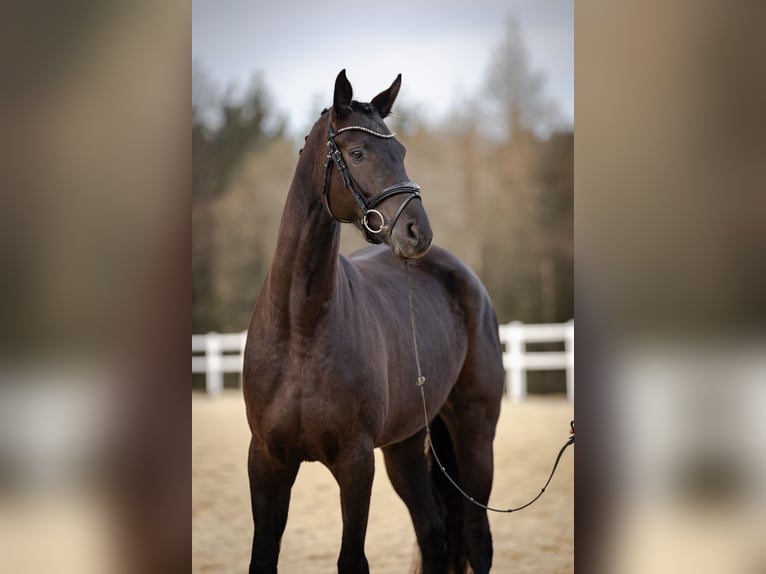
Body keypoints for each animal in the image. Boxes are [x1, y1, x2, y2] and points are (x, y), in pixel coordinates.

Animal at [243, 69, 505, 574]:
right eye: (358, 152)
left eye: (400, 151)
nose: (417, 232)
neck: (300, 328)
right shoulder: (266, 461)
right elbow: (262, 557)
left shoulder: (355, 460)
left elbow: (353, 560)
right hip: (405, 445)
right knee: (433, 529)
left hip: (475, 431)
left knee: (477, 538)